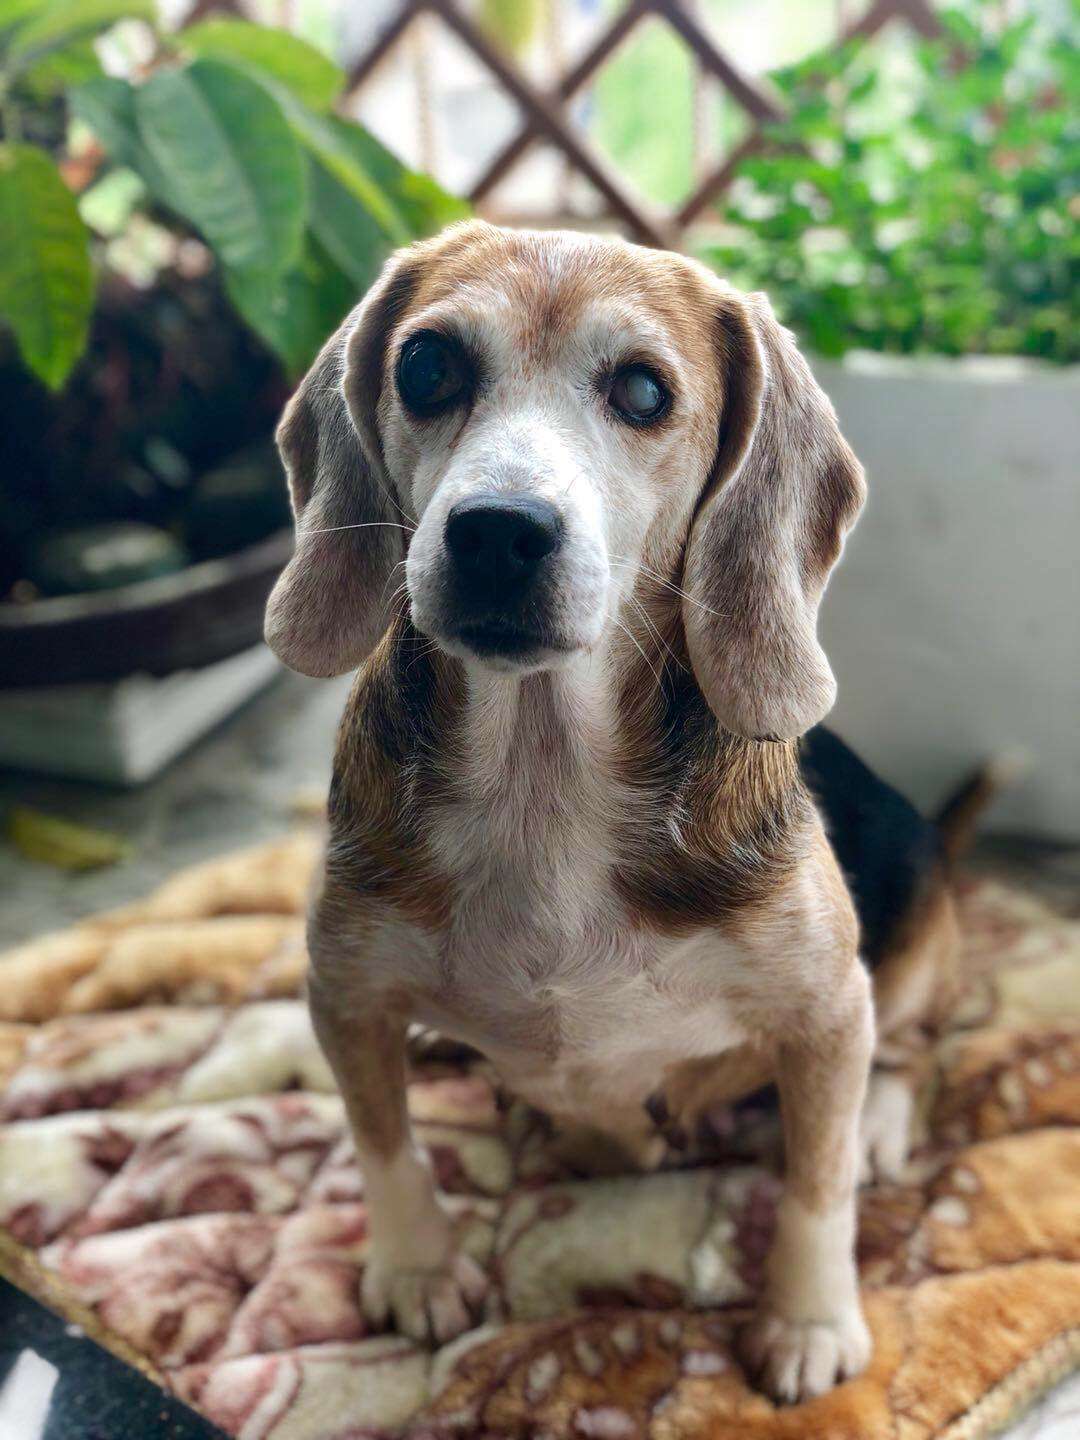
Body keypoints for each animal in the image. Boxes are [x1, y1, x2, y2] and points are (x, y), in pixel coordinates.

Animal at [266, 218, 967, 1399]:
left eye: (642, 391)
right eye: (426, 367)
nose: (496, 531)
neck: (544, 782)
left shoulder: (827, 1011)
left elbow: (815, 1185)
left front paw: (809, 1319)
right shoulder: (345, 992)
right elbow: (385, 1142)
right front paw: (418, 1268)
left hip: (910, 948)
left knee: (911, 1048)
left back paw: (878, 1122)